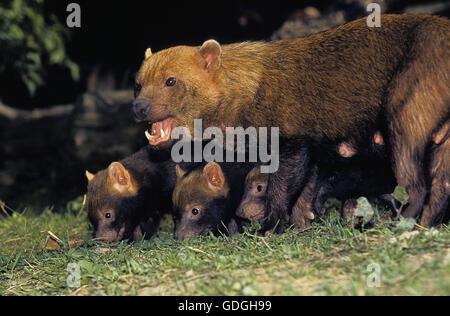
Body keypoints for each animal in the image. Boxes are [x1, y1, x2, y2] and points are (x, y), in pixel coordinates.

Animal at [134, 15, 450, 230]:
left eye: (171, 81)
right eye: (138, 84)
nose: (138, 107)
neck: (248, 91)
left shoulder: (291, 139)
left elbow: (280, 187)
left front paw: (270, 227)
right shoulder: (317, 148)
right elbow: (307, 189)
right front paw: (302, 222)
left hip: (405, 117)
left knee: (416, 185)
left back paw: (401, 223)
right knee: (440, 187)